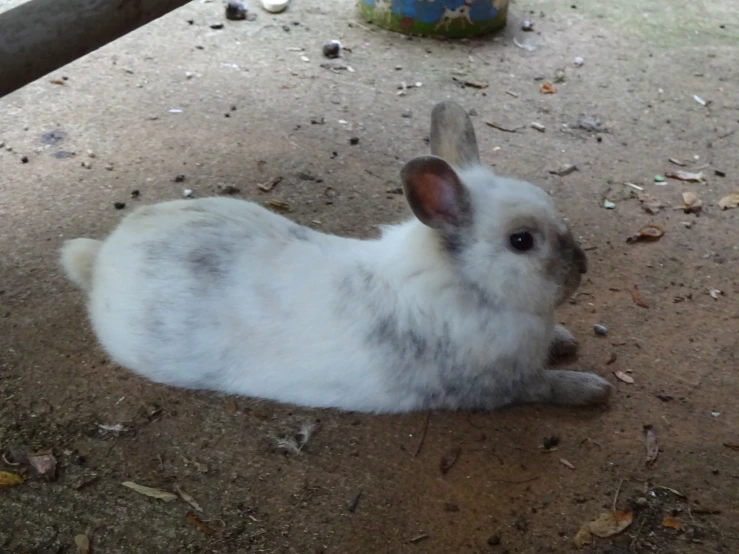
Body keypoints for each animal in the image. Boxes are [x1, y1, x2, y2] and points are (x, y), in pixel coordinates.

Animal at [60, 100, 612, 410]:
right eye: (522, 241)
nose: (582, 269)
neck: (467, 285)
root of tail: (102, 260)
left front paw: (564, 338)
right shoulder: (502, 386)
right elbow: (546, 387)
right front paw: (592, 389)